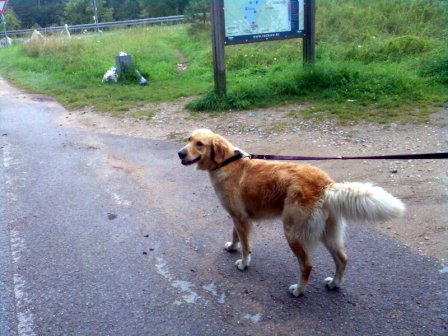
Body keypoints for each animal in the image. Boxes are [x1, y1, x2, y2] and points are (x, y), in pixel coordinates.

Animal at [178, 129, 406, 296]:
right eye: (188, 139)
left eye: (200, 144)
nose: (180, 153)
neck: (226, 162)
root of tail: (327, 185)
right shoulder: (239, 217)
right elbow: (236, 236)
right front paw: (233, 247)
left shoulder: (240, 217)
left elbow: (245, 245)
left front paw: (243, 263)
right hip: (328, 234)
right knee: (342, 259)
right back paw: (334, 284)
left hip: (292, 233)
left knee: (307, 266)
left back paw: (298, 290)